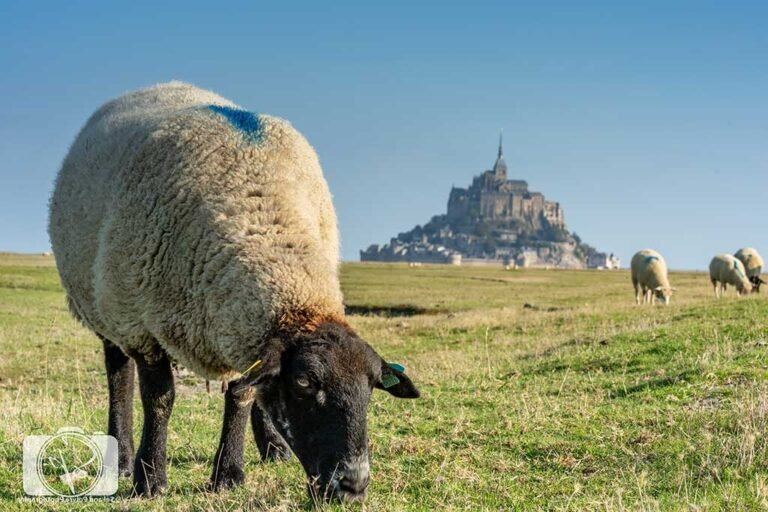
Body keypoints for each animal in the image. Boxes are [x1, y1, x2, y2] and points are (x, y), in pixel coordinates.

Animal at [48, 82, 420, 502]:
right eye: (304, 383)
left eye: (371, 388)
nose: (353, 486)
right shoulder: (142, 327)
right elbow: (159, 399)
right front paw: (150, 479)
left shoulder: (237, 321)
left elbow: (242, 394)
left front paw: (228, 474)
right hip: (106, 305)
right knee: (118, 377)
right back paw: (122, 458)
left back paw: (273, 447)